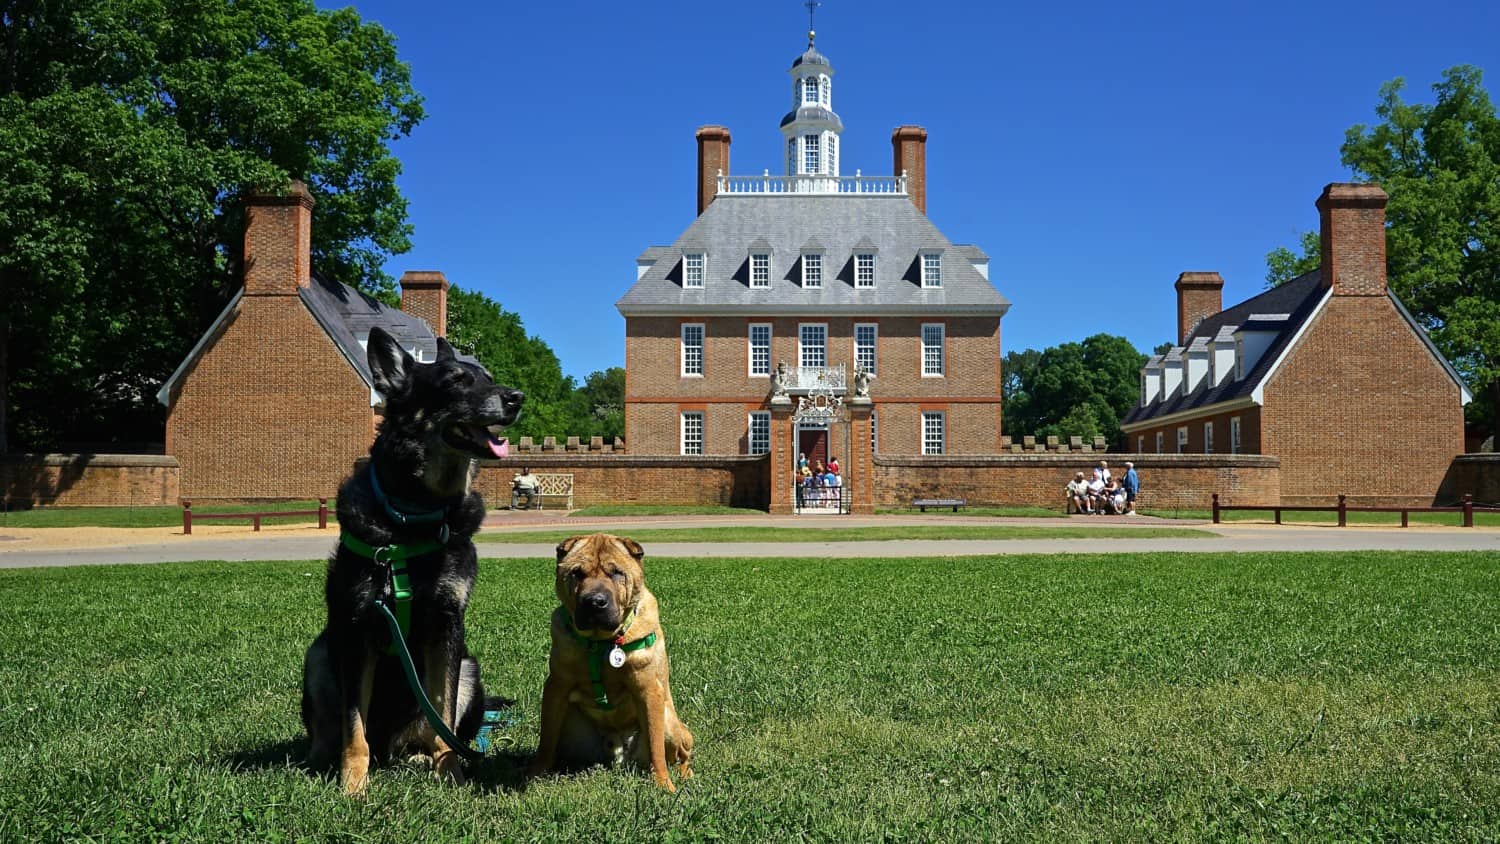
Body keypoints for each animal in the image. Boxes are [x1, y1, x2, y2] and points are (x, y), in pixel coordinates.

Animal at [298, 326, 522, 797]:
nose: (516, 397)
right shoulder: (359, 626)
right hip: (320, 655)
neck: (416, 513)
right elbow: (353, 728)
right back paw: (320, 761)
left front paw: (451, 775)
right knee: (333, 732)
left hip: (470, 670)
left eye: (488, 378)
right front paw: (352, 784)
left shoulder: (447, 624)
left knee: (428, 731)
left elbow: (444, 720)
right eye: (455, 381)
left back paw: (421, 757)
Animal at [528, 533, 690, 791]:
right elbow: (546, 740)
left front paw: (663, 785)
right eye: (577, 573)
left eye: (616, 573)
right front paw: (535, 774)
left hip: (670, 724)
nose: (595, 602)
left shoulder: (648, 689)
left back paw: (685, 776)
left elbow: (655, 747)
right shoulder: (556, 686)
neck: (601, 643)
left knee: (683, 754)